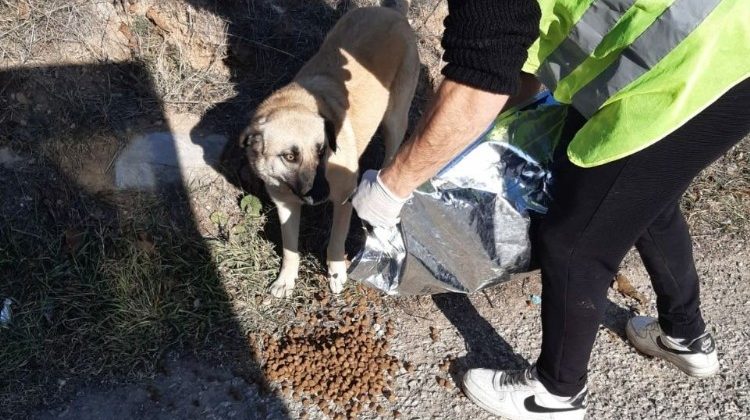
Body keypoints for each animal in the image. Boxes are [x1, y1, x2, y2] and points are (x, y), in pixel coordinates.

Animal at [241, 4, 420, 298]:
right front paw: (286, 279)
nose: (321, 194)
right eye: (289, 156)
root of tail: (389, 10)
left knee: (394, 150)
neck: (295, 103)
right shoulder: (285, 204)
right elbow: (290, 248)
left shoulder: (344, 199)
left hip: (395, 118)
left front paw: (337, 272)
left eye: (322, 150)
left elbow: (336, 239)